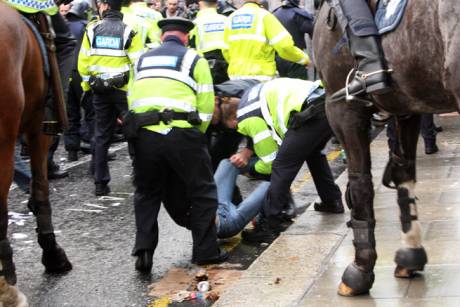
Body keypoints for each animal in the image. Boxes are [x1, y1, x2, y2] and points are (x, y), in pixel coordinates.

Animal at [312, 0, 460, 298]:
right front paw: (410, 254)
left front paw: (360, 271)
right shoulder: (408, 108)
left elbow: (360, 184)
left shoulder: (342, 108)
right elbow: (404, 173)